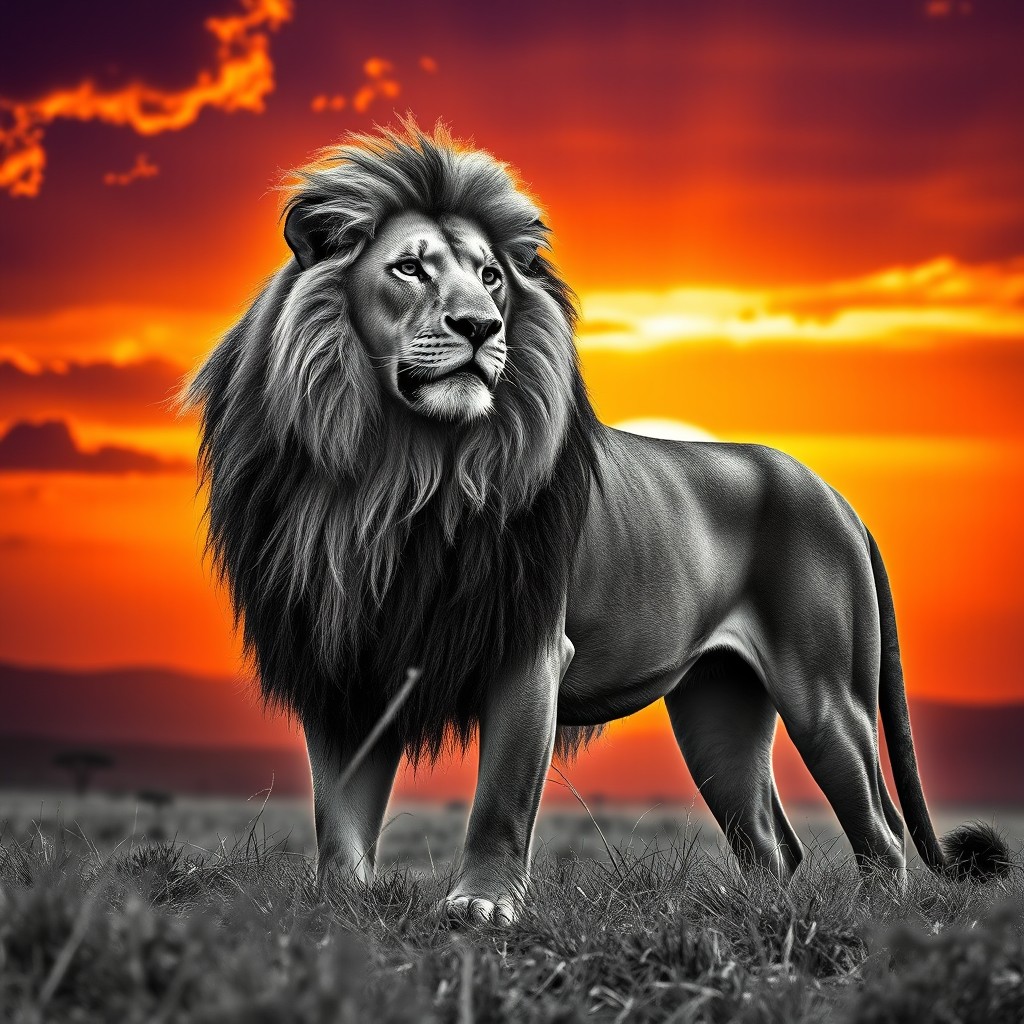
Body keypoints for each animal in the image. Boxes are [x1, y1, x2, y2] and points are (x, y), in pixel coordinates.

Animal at [185, 122, 1009, 923]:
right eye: (410, 269)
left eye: (491, 276)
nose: (481, 326)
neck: (398, 469)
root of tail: (837, 496)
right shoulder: (341, 655)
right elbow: (341, 812)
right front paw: (339, 905)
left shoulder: (530, 649)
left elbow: (501, 798)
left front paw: (482, 905)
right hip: (717, 708)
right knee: (773, 842)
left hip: (826, 692)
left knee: (882, 835)